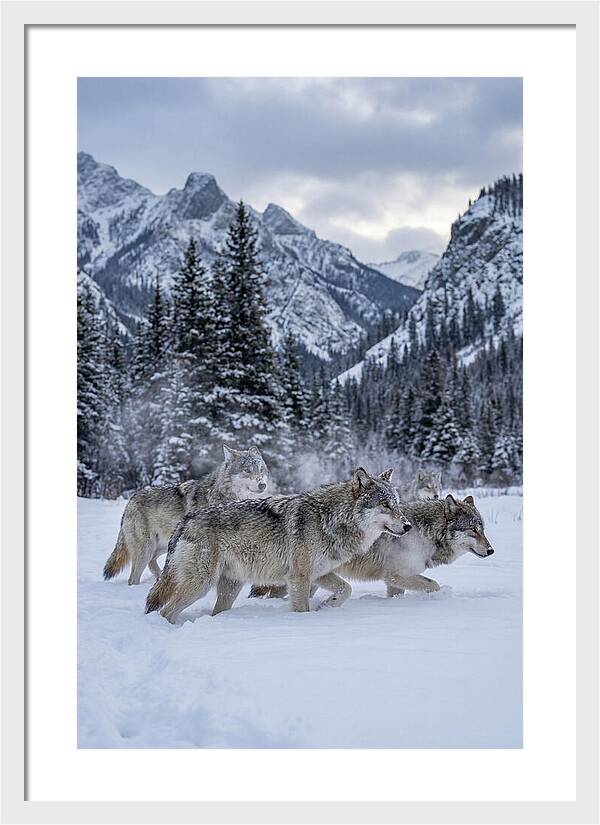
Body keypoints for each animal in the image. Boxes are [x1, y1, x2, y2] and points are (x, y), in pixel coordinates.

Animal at [103, 444, 269, 586]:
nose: (263, 485)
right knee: (133, 578)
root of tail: (131, 499)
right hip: (146, 549)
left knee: (152, 562)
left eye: (261, 469)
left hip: (164, 545)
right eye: (247, 470)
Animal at [145, 467, 412, 623]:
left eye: (397, 503)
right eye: (385, 505)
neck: (330, 518)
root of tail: (185, 520)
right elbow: (302, 609)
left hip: (229, 588)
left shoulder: (319, 573)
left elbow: (346, 589)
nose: (408, 525)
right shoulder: (299, 577)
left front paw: (327, 606)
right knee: (165, 611)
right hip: (200, 585)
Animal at [336, 494, 494, 597]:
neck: (425, 535)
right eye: (473, 529)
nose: (491, 550)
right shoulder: (396, 576)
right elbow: (434, 584)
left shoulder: (393, 582)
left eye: (482, 530)